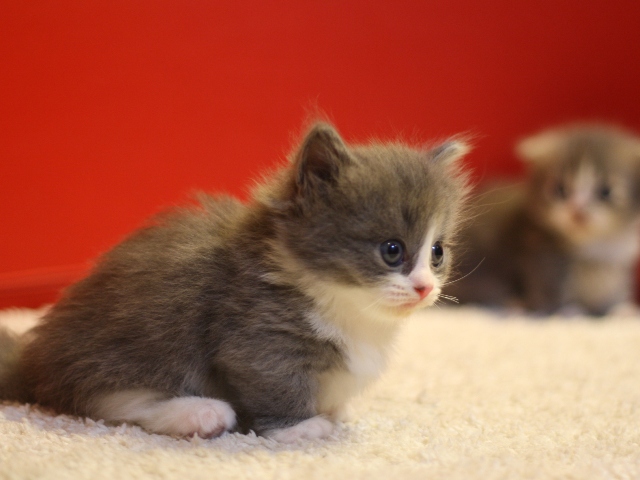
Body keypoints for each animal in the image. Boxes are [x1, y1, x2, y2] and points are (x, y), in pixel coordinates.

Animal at [0, 121, 470, 442]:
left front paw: (334, 409)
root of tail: (33, 357)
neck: (347, 305)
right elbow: (277, 384)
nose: (425, 287)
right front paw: (301, 427)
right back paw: (199, 413)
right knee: (98, 398)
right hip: (141, 337)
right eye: (392, 250)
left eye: (437, 252)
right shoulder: (258, 337)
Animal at [448, 124, 640, 316]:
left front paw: (618, 309)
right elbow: (549, 288)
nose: (577, 211)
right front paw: (566, 311)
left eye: (606, 191)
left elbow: (613, 288)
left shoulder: (618, 262)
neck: (594, 247)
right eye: (560, 189)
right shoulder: (541, 255)